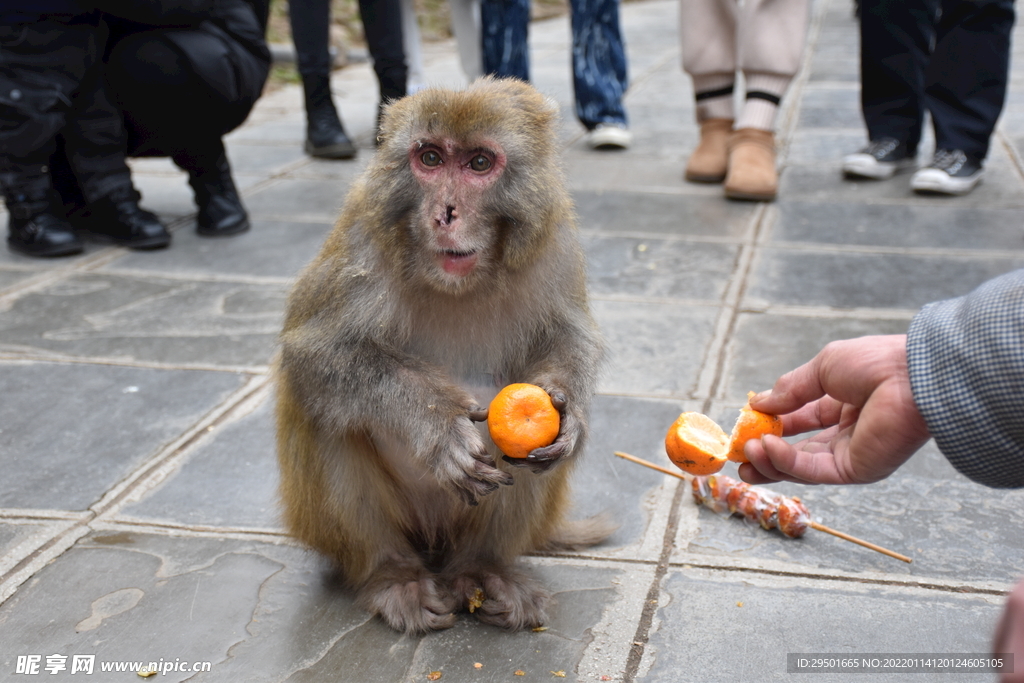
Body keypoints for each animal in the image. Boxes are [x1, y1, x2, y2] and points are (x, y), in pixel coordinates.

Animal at [272, 78, 610, 634]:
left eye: (478, 163)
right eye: (430, 158)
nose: (445, 213)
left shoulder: (554, 240)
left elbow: (569, 336)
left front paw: (571, 413)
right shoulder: (363, 236)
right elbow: (314, 356)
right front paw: (437, 425)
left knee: (523, 464)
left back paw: (484, 570)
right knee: (326, 415)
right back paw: (393, 576)